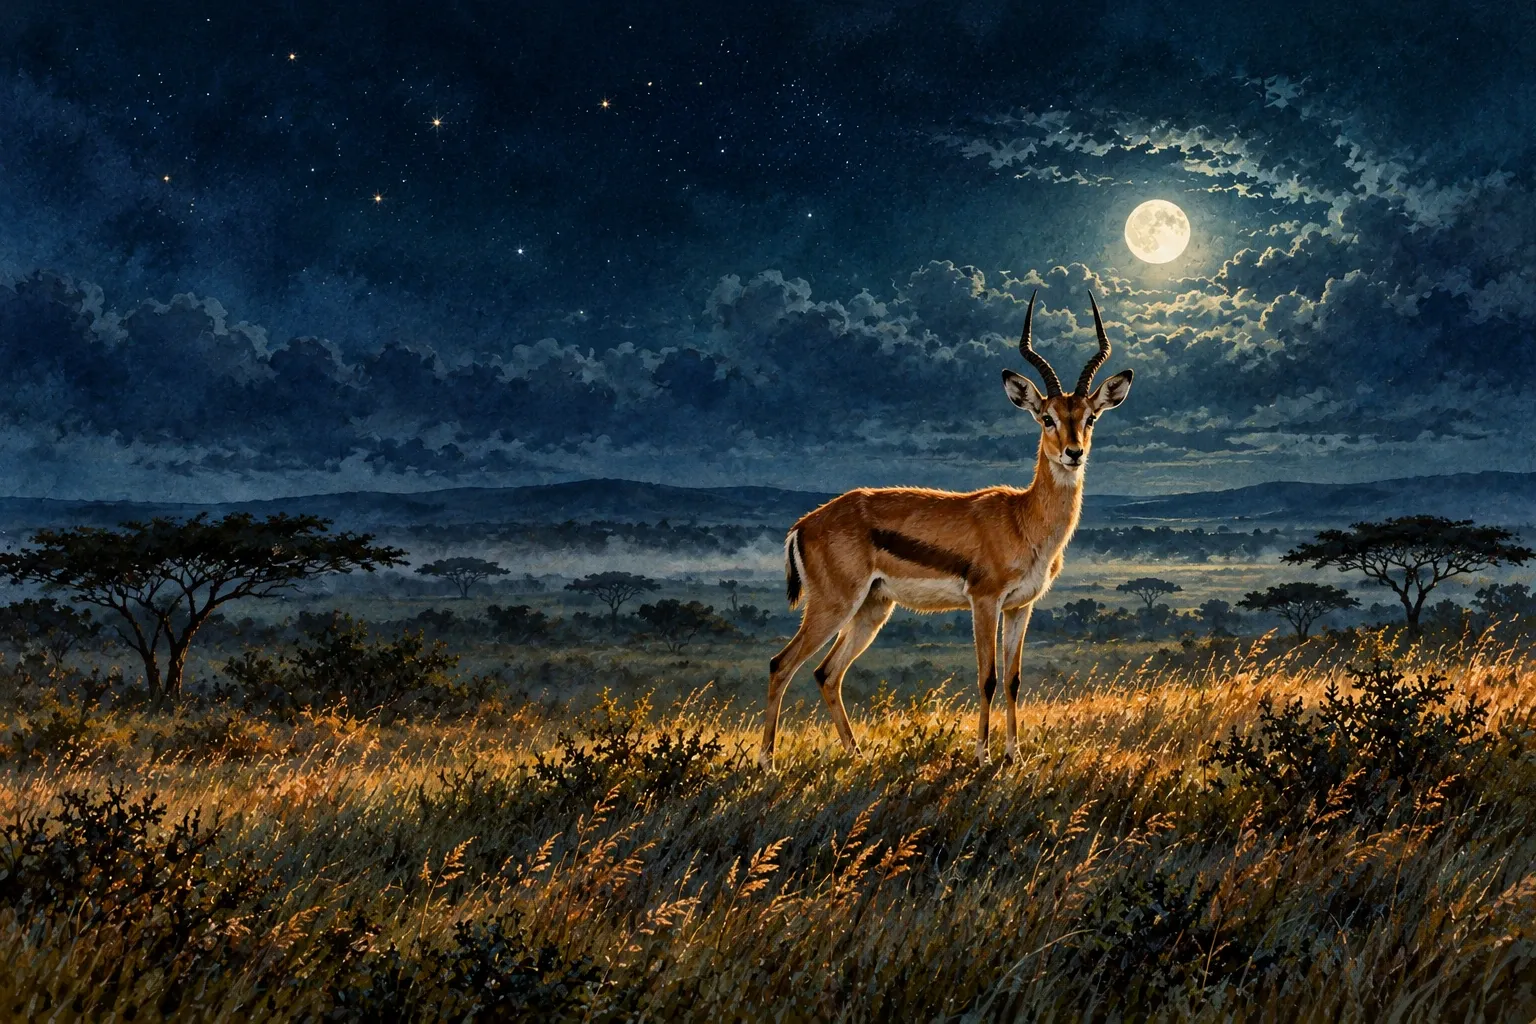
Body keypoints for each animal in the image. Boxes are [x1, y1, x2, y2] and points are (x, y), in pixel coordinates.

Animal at [759, 292, 1134, 769]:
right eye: (1046, 418)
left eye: (1090, 418)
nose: (1074, 453)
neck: (1022, 518)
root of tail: (803, 524)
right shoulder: (984, 602)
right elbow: (987, 677)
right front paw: (984, 756)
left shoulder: (1020, 607)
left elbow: (1013, 679)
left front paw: (1014, 756)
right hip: (834, 605)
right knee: (781, 664)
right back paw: (767, 763)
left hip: (872, 609)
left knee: (827, 673)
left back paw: (858, 756)